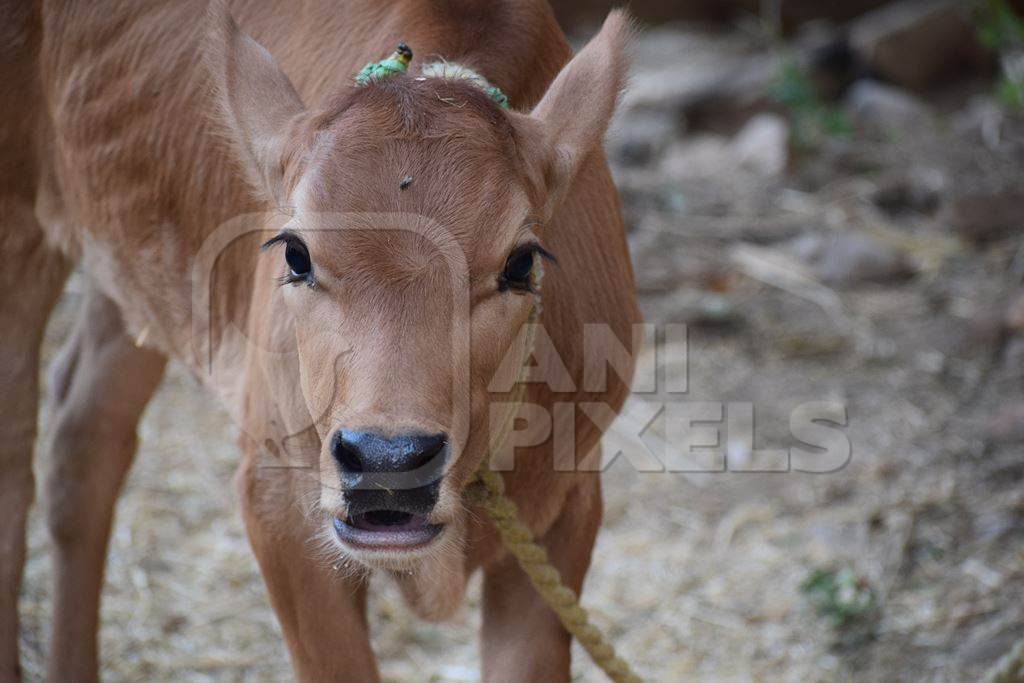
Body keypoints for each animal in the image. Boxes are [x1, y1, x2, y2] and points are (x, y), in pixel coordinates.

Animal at [0, 2, 638, 679]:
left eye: (521, 263)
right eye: (296, 253)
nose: (388, 462)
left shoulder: (569, 500)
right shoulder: (278, 495)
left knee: (85, 429)